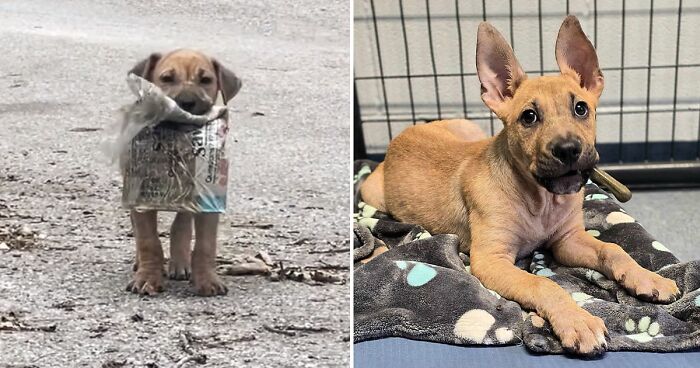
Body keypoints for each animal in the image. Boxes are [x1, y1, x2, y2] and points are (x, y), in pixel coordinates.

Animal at [360, 15, 680, 356]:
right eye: (529, 116)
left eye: (581, 108)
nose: (568, 150)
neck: (540, 200)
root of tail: (406, 130)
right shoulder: (490, 260)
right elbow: (543, 282)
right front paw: (577, 321)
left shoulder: (567, 241)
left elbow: (613, 249)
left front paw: (648, 279)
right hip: (372, 193)